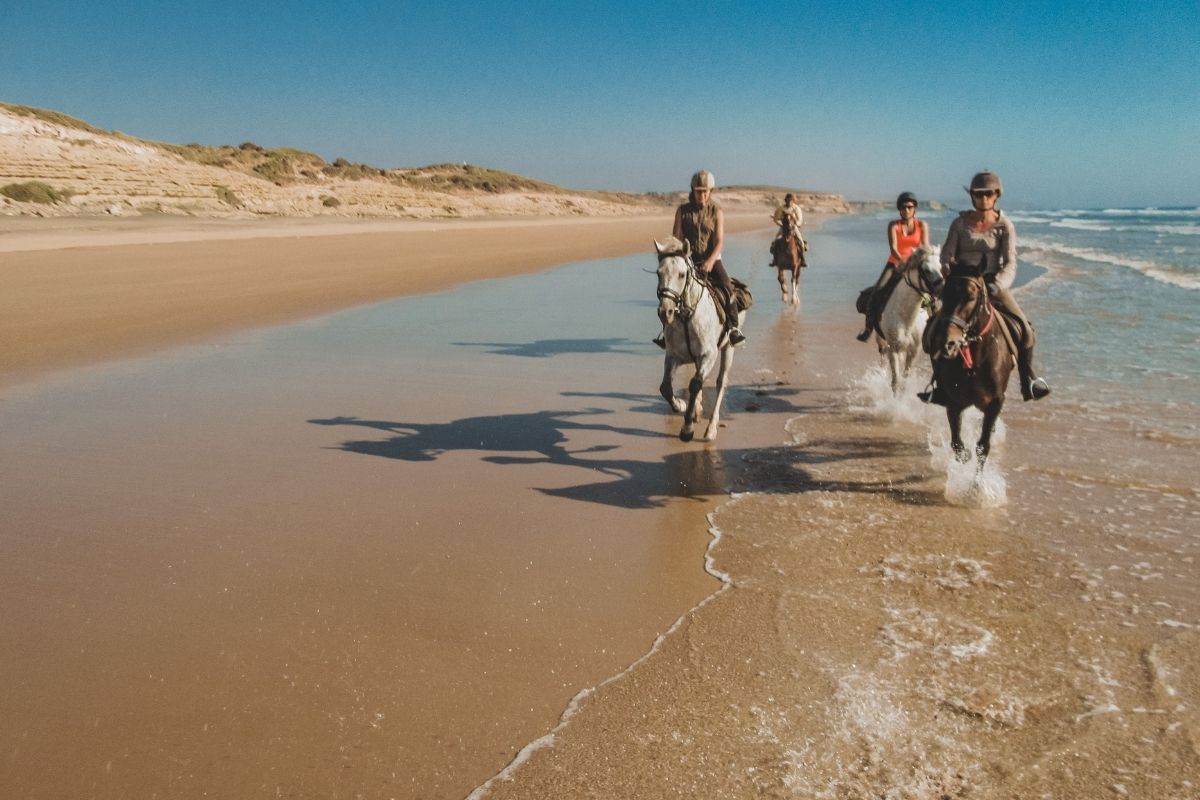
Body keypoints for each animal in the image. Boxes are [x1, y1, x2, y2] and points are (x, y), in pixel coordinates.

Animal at [654, 237, 744, 442]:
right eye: (658, 273)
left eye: (681, 274)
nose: (665, 311)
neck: (686, 316)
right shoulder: (674, 356)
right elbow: (666, 387)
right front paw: (681, 405)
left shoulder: (708, 355)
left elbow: (695, 384)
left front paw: (687, 429)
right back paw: (696, 410)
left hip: (728, 348)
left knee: (720, 383)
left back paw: (711, 429)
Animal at [873, 245, 944, 393]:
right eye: (926, 270)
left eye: (940, 266)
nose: (942, 287)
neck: (906, 318)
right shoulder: (893, 349)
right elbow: (895, 382)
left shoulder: (914, 351)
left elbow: (905, 379)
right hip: (881, 340)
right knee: (882, 356)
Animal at [924, 260, 1014, 468]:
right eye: (944, 294)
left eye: (971, 297)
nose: (947, 342)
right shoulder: (954, 402)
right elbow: (957, 444)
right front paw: (963, 465)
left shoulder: (994, 403)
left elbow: (983, 446)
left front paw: (977, 478)